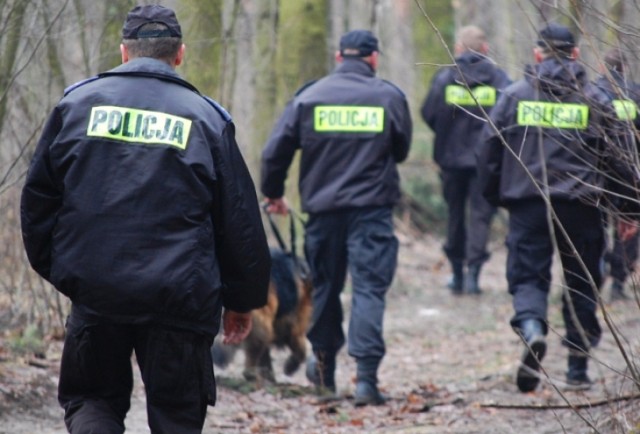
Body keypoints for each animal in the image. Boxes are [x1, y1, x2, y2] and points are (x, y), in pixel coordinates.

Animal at [211, 244, 314, 384]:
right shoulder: (293, 327)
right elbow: (301, 351)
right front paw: (290, 366)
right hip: (261, 327)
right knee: (250, 362)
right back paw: (253, 376)